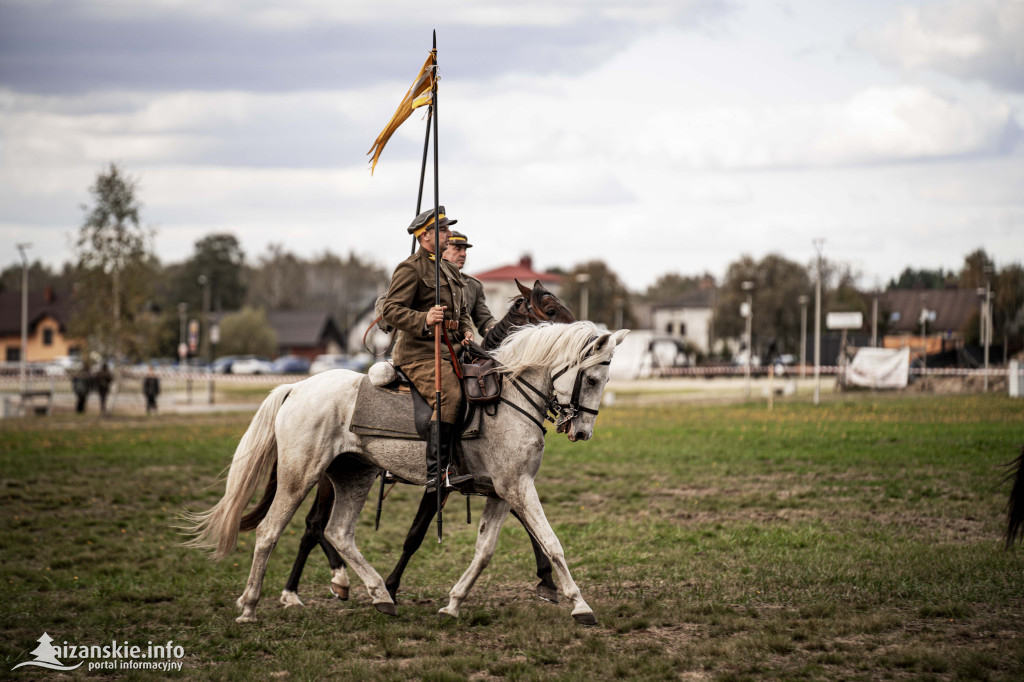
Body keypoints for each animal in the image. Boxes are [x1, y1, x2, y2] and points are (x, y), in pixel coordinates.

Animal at [188, 319, 626, 622]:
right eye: (591, 377)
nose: (582, 432)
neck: (511, 399)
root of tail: (297, 387)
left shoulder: (503, 491)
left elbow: (485, 551)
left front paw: (452, 604)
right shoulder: (516, 488)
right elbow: (551, 542)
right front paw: (579, 604)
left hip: (354, 476)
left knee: (337, 532)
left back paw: (378, 594)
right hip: (302, 477)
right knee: (272, 532)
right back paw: (251, 606)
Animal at [240, 278, 577, 606]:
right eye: (550, 310)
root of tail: (297, 388)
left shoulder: (497, 480)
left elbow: (526, 524)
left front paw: (547, 581)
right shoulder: (444, 483)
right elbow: (415, 535)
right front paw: (390, 587)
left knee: (315, 526)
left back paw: (315, 585)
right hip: (320, 476)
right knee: (313, 525)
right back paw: (312, 585)